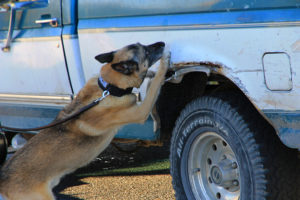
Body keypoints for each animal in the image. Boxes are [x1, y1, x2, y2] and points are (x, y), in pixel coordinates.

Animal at [0, 41, 169, 199]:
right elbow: (153, 88)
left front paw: (153, 72)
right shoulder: (141, 111)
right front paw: (164, 66)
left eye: (144, 45)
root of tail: (3, 181)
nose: (162, 43)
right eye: (146, 52)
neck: (108, 88)